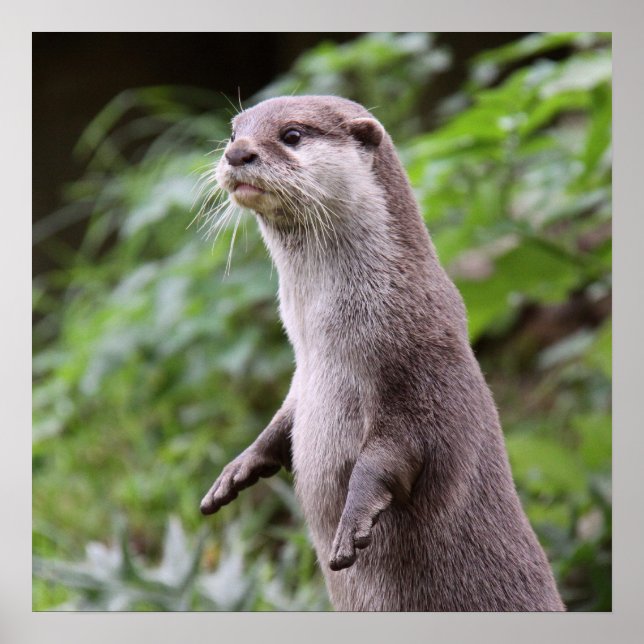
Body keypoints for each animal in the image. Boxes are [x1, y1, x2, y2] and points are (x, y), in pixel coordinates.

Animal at [199, 95, 565, 612]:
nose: (237, 154)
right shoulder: (304, 376)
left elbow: (396, 453)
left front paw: (353, 521)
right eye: (234, 133)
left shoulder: (423, 366)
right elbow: (284, 417)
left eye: (291, 135)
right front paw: (239, 467)